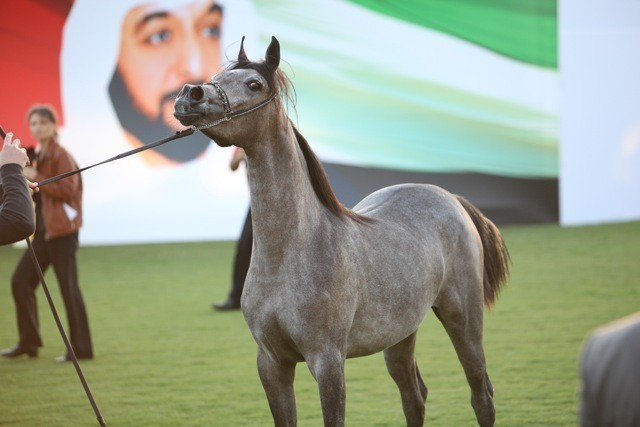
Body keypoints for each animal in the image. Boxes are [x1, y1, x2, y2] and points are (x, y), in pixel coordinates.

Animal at [174, 36, 509, 427]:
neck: (291, 254)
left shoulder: (328, 363)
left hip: (464, 321)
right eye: (216, 78)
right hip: (399, 334)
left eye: (253, 84)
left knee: (481, 395)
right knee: (415, 396)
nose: (190, 94)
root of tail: (450, 198)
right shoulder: (271, 363)